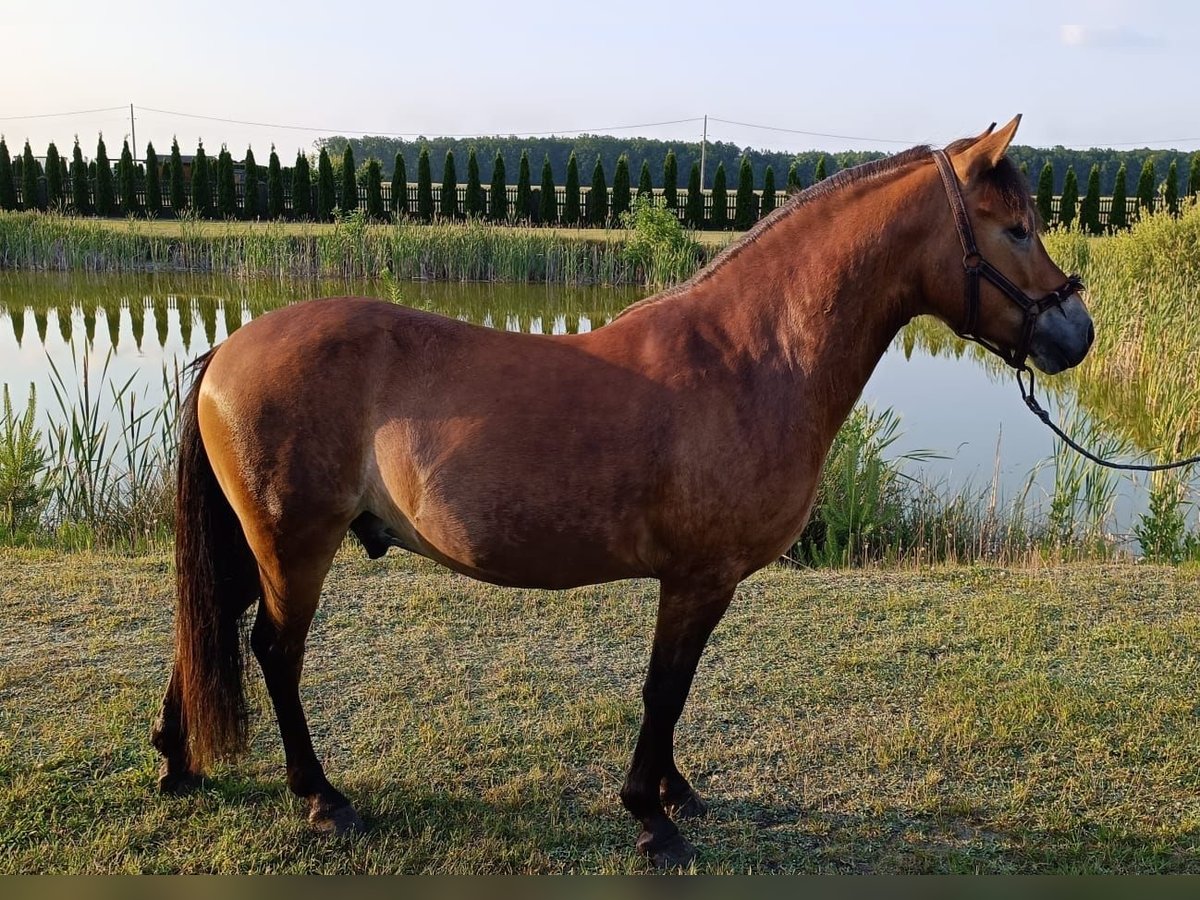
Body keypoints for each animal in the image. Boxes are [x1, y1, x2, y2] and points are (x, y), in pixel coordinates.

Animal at [151, 116, 1094, 868]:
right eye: (1014, 229)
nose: (1075, 331)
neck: (754, 357)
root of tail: (227, 351)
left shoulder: (698, 582)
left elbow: (674, 690)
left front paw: (675, 792)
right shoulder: (699, 579)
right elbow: (663, 688)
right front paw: (653, 816)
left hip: (259, 544)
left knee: (210, 626)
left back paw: (175, 760)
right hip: (295, 546)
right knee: (275, 653)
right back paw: (321, 797)